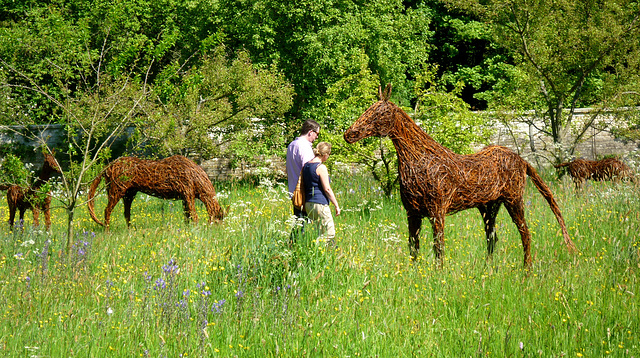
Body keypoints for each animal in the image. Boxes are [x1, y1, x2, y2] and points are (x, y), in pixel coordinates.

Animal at [87, 155, 222, 228]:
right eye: (220, 218)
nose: (219, 230)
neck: (197, 179)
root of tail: (108, 167)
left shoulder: (185, 197)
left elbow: (187, 216)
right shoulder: (188, 193)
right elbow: (194, 216)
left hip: (128, 193)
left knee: (126, 213)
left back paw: (130, 230)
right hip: (117, 190)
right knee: (107, 210)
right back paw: (107, 231)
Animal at [342, 83, 576, 262]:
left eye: (379, 113)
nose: (349, 134)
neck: (416, 159)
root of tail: (523, 161)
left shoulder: (437, 210)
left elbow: (438, 248)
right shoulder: (412, 212)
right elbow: (413, 249)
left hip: (514, 199)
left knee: (525, 234)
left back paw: (527, 272)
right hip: (490, 206)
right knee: (492, 238)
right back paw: (489, 270)